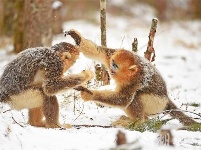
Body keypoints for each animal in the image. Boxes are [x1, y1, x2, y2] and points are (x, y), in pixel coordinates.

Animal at [66, 29, 198, 126]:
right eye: (112, 63)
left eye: (116, 66)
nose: (111, 71)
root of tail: (166, 99)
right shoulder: (111, 54)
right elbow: (98, 52)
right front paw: (77, 38)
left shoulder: (135, 81)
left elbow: (123, 99)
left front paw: (90, 94)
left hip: (156, 104)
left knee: (136, 96)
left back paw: (138, 121)